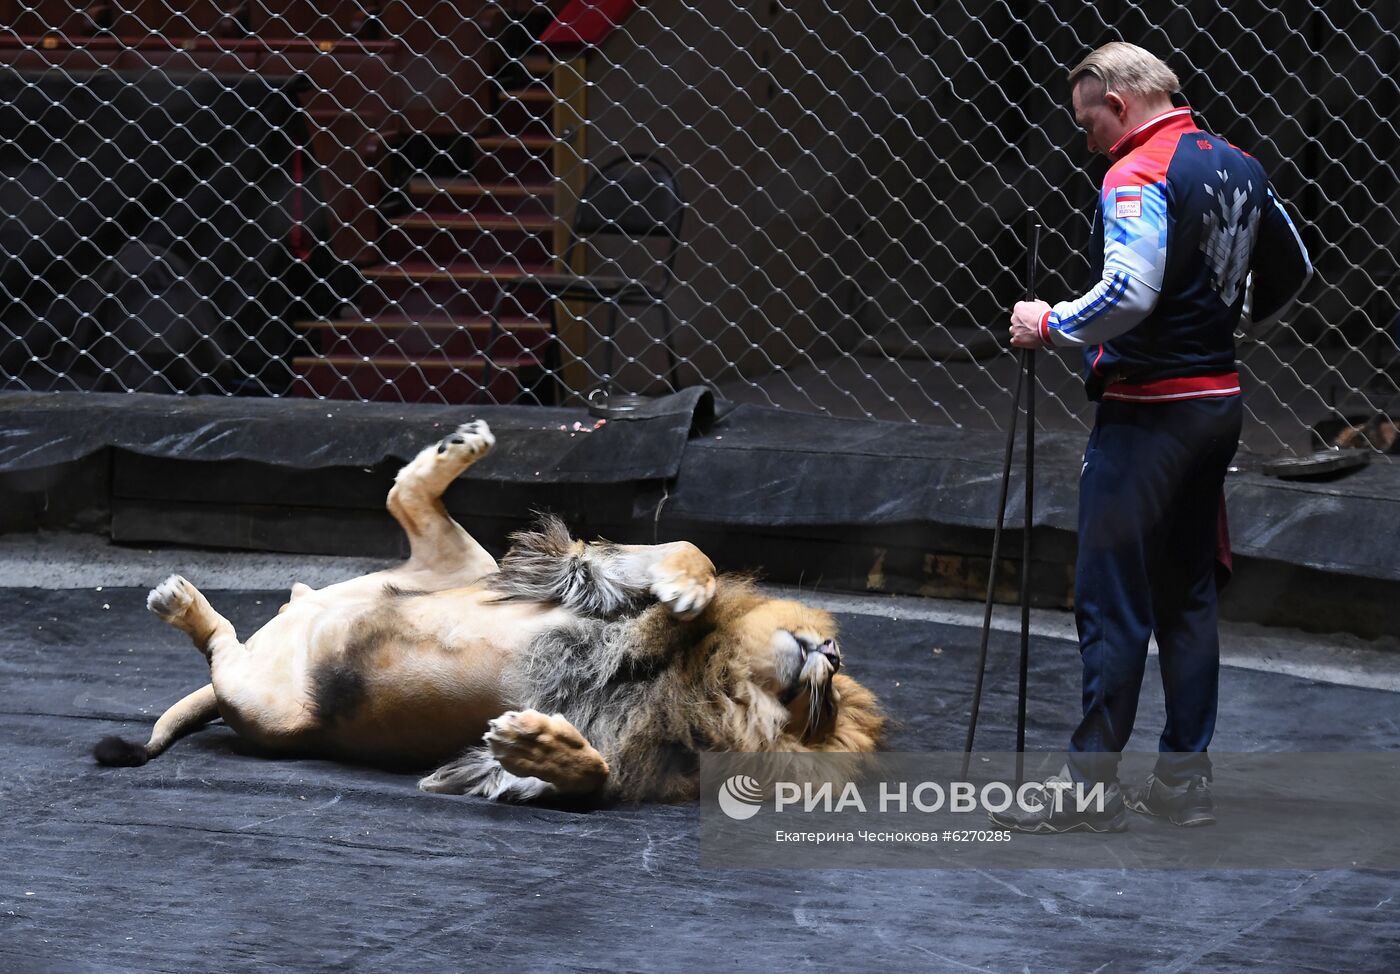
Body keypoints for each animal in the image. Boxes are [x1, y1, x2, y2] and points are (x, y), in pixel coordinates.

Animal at [95, 422, 884, 800]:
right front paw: (689, 589)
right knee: (401, 496)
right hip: (475, 573)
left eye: (824, 714)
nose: (833, 653)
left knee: (225, 655)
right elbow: (689, 554)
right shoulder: (580, 581)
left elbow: (589, 773)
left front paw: (536, 743)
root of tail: (294, 618)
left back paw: (183, 604)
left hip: (273, 708)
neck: (708, 676)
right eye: (832, 696)